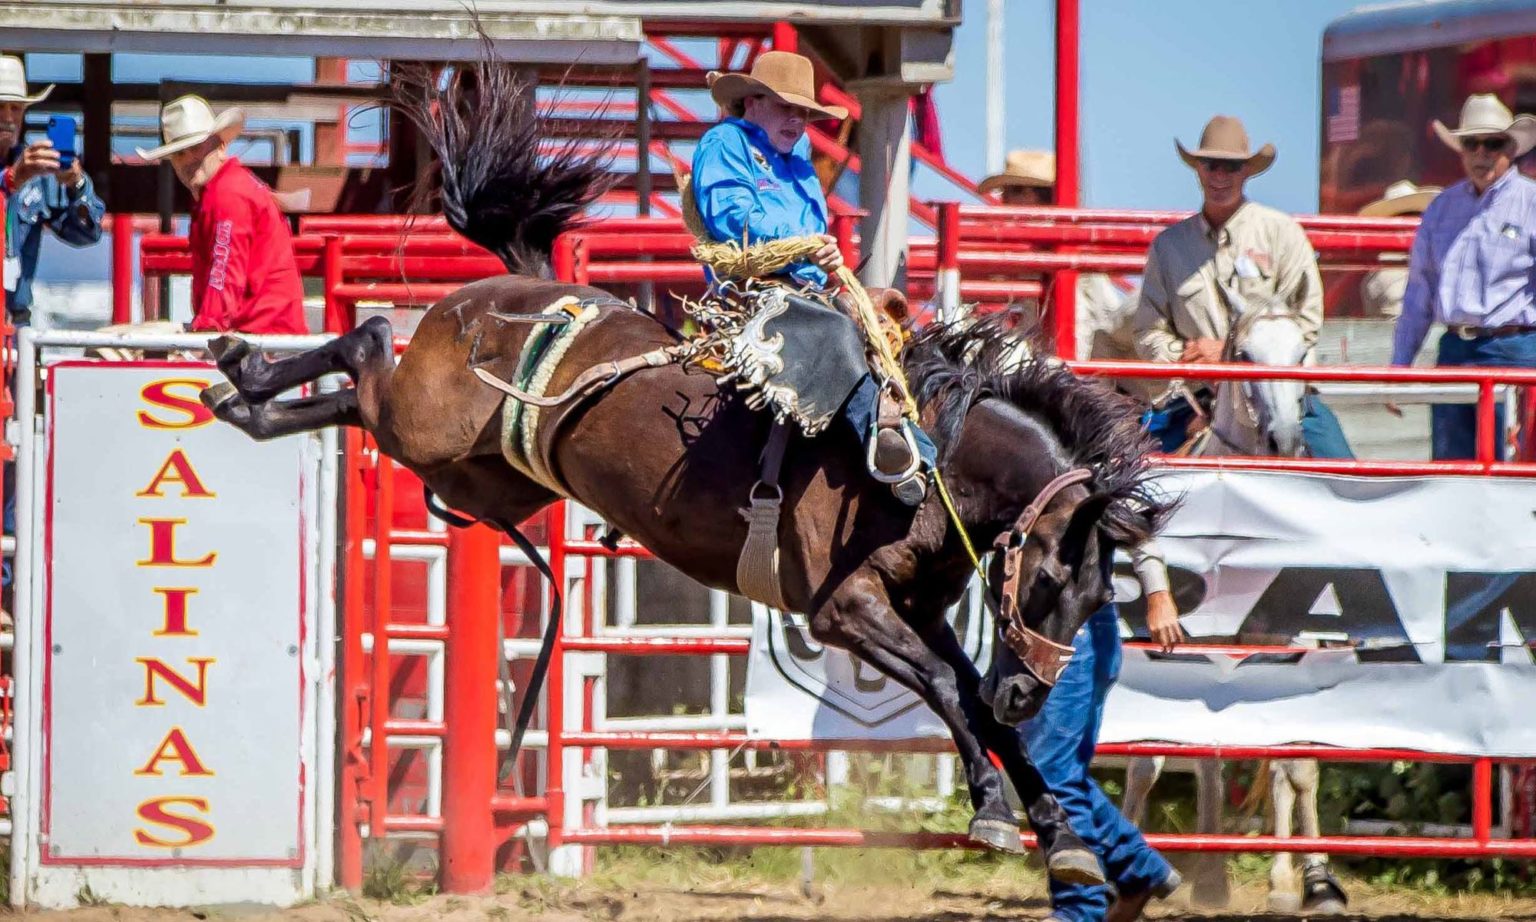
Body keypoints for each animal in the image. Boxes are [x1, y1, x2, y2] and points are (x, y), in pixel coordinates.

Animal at [201, 57, 1161, 885]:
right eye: (1047, 579)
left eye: (1095, 600)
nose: (1030, 690)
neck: (926, 463)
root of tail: (507, 289)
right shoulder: (843, 607)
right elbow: (945, 690)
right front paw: (996, 809)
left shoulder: (919, 611)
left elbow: (968, 694)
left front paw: (1061, 836)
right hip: (426, 423)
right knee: (366, 342)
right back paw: (242, 363)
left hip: (482, 474)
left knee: (351, 397)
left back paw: (246, 401)